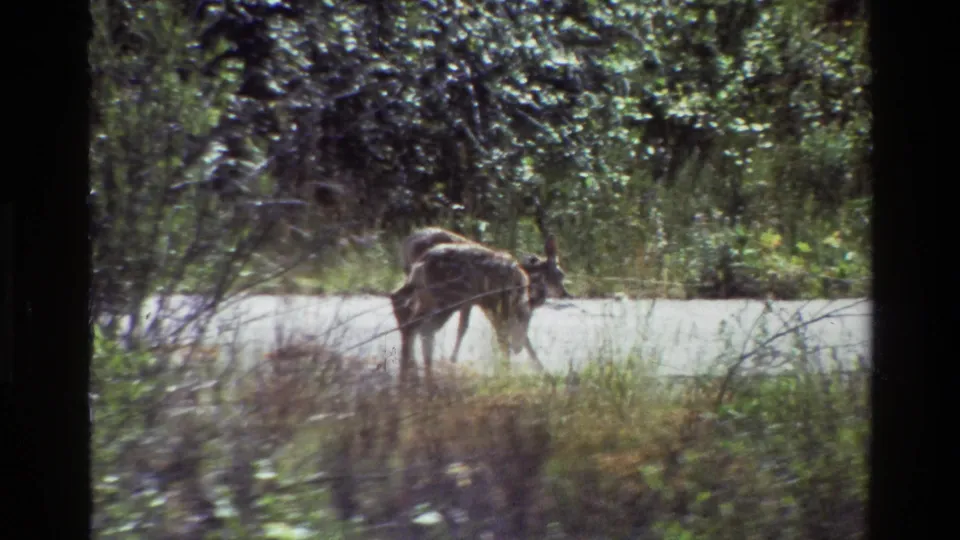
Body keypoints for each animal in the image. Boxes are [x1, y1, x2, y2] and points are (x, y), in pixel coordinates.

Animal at [390, 243, 540, 385]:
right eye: (522, 320)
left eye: (528, 321)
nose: (517, 349)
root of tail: (419, 266)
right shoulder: (493, 304)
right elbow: (502, 338)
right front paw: (507, 371)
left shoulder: (480, 305)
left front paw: (539, 368)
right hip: (444, 300)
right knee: (422, 328)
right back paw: (421, 377)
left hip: (427, 299)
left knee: (410, 320)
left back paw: (410, 377)